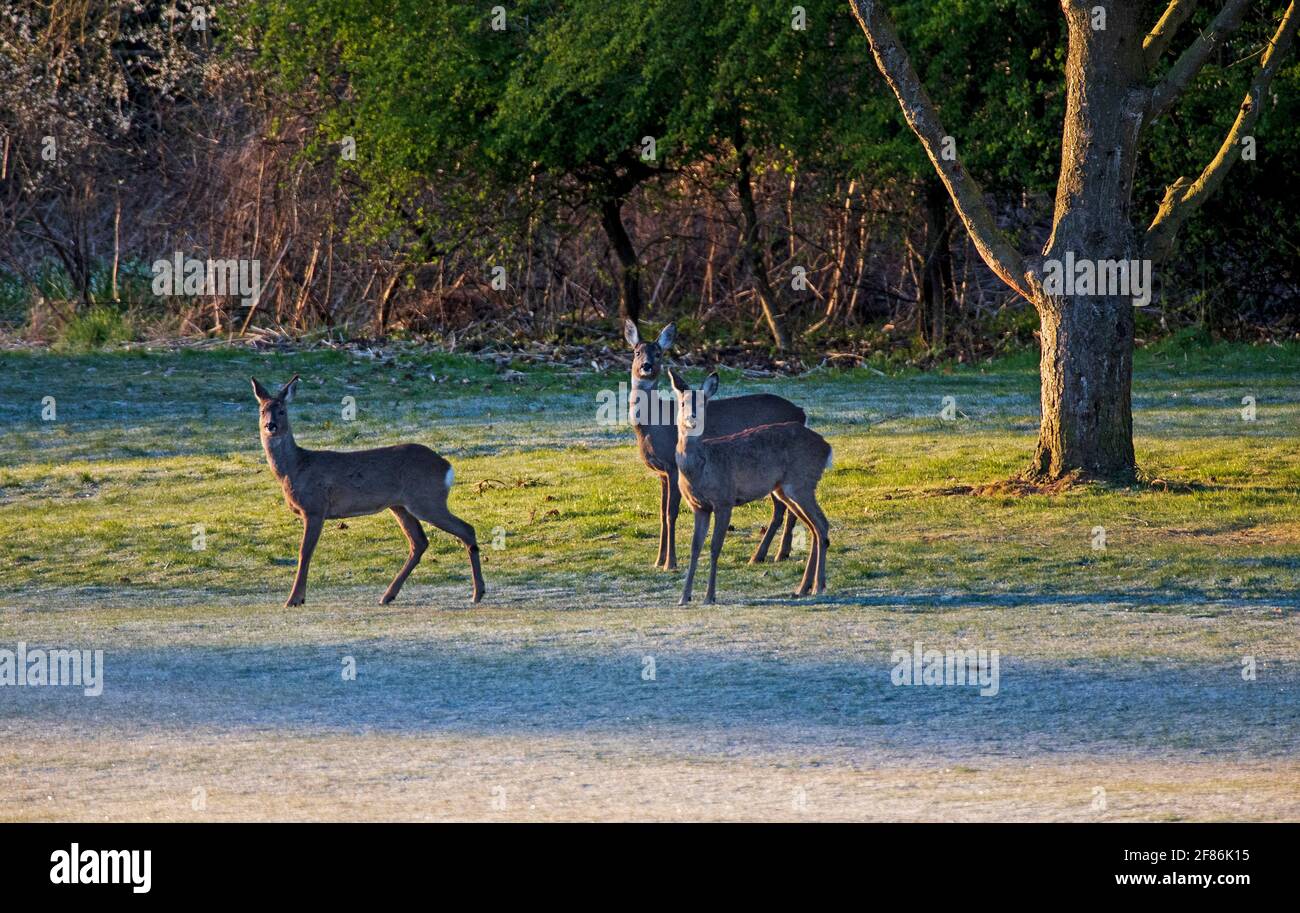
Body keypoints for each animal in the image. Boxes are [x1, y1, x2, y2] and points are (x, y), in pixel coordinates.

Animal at [246, 374, 483, 611]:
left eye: (282, 410)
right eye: (262, 410)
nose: (270, 425)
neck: (294, 467)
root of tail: (446, 466)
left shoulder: (314, 507)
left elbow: (305, 552)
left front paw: (294, 599)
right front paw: (297, 598)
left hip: (427, 500)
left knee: (466, 529)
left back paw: (477, 593)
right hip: (400, 505)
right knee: (419, 542)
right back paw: (388, 595)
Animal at [626, 318, 806, 569]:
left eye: (659, 353)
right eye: (637, 351)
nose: (647, 366)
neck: (654, 425)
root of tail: (801, 413)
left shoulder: (673, 466)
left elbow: (671, 513)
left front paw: (670, 562)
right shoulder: (661, 472)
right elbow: (661, 513)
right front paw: (658, 559)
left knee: (781, 508)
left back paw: (762, 555)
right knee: (789, 505)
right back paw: (782, 552)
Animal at [670, 371, 832, 608]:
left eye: (702, 403)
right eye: (682, 402)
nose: (692, 418)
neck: (702, 467)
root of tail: (827, 448)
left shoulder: (724, 500)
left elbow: (715, 547)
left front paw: (710, 596)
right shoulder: (699, 507)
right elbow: (694, 548)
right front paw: (684, 597)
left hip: (801, 483)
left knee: (821, 524)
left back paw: (818, 586)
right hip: (786, 490)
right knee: (814, 527)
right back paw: (803, 588)